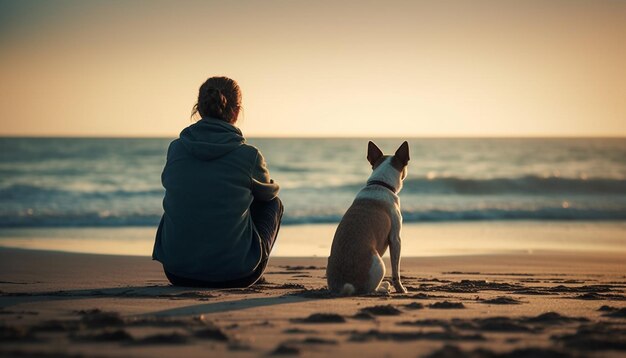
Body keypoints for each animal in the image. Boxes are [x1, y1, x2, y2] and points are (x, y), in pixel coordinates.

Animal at [326, 141, 410, 296]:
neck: (380, 183)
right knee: (371, 289)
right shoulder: (396, 240)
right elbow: (396, 272)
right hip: (379, 263)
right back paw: (384, 287)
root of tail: (344, 287)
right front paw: (401, 289)